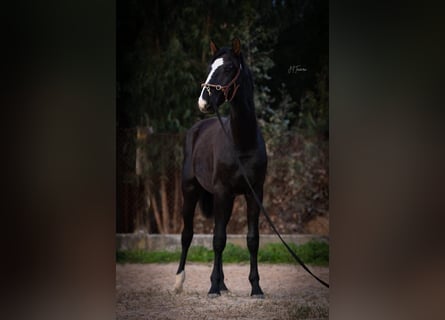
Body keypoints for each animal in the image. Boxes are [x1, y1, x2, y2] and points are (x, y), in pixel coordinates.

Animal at [173, 38, 266, 298]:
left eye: (228, 68)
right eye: (210, 67)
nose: (204, 102)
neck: (241, 142)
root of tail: (197, 129)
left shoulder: (254, 193)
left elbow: (251, 239)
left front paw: (256, 288)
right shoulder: (222, 192)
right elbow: (217, 240)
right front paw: (213, 287)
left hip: (226, 198)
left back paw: (224, 284)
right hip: (190, 191)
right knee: (187, 235)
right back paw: (179, 282)